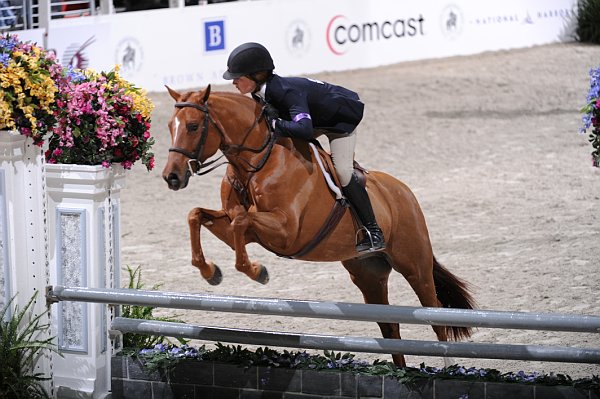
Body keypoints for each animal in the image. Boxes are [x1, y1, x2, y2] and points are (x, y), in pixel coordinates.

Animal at [162, 86, 476, 368]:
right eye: (169, 126)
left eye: (192, 126)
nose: (172, 177)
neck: (256, 163)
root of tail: (403, 191)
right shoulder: (237, 228)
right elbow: (198, 215)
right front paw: (210, 271)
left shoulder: (286, 231)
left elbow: (241, 220)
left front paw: (257, 272)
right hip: (368, 274)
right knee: (390, 328)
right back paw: (401, 372)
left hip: (415, 266)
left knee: (436, 317)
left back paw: (448, 370)